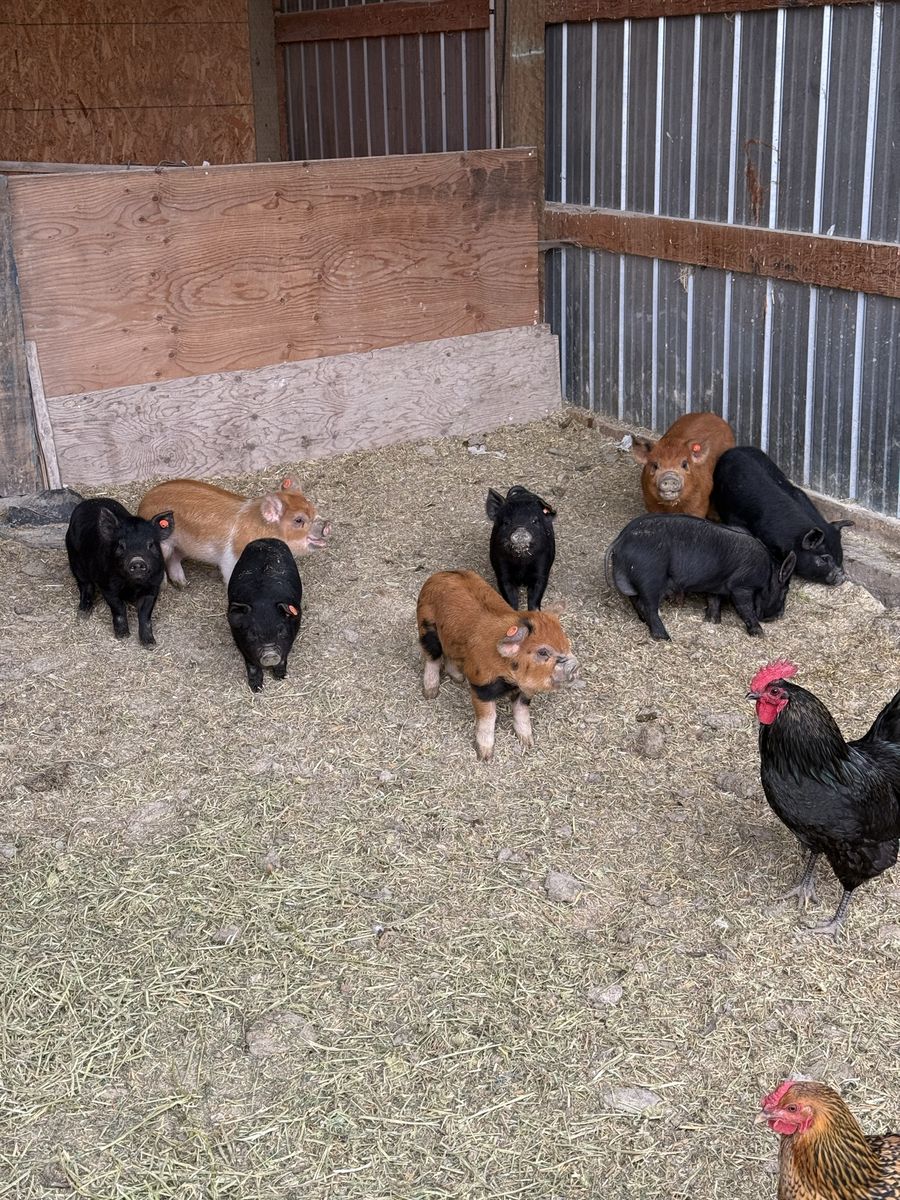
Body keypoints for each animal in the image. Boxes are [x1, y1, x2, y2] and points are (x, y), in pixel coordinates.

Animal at [65, 497, 174, 646]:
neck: (133, 586)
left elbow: (145, 615)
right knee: (85, 585)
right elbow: (119, 609)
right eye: (121, 546)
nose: (137, 561)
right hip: (74, 559)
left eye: (151, 544)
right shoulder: (107, 586)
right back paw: (82, 614)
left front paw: (150, 644)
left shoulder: (153, 586)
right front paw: (123, 636)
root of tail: (90, 501)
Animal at [137, 476, 330, 586]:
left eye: (313, 510)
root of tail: (143, 503)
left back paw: (183, 584)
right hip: (164, 545)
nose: (327, 525)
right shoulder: (231, 558)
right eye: (298, 520)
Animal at [227, 538, 302, 692]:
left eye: (281, 631)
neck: (263, 601)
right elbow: (252, 664)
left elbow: (283, 658)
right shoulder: (239, 639)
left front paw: (281, 677)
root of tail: (265, 538)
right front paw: (257, 688)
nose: (270, 654)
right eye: (252, 634)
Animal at [416, 569, 579, 761]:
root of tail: (439, 575)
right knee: (432, 657)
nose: (574, 666)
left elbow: (521, 712)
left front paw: (528, 743)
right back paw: (430, 693)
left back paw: (458, 679)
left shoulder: (523, 689)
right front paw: (485, 756)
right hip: (426, 625)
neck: (509, 679)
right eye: (543, 652)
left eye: (565, 644)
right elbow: (488, 718)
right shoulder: (481, 686)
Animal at [605, 514, 797, 641]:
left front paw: (712, 621)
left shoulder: (717, 584)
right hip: (651, 576)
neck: (768, 572)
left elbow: (713, 600)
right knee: (649, 606)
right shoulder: (741, 585)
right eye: (785, 590)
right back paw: (665, 637)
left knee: (636, 601)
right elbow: (745, 607)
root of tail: (620, 540)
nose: (779, 615)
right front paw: (760, 633)